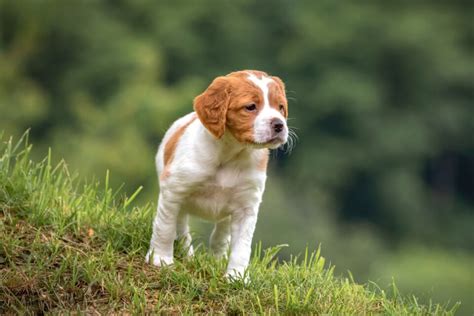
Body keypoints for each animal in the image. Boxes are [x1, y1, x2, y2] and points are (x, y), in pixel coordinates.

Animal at [146, 69, 288, 278]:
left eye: (280, 107)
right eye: (250, 107)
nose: (279, 124)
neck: (232, 153)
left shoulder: (246, 206)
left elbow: (241, 247)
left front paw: (236, 277)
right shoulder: (174, 190)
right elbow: (165, 228)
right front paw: (161, 259)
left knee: (220, 235)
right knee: (180, 228)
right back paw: (187, 254)